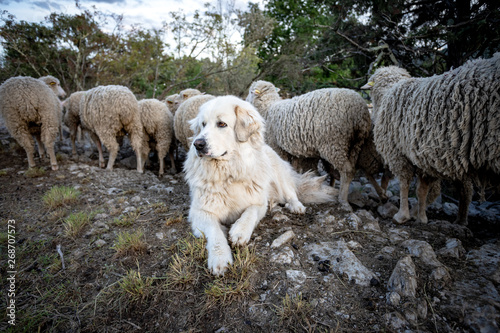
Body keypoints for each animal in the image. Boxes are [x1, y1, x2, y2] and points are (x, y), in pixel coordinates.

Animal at [185, 94, 336, 274]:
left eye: (221, 124)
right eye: (202, 124)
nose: (197, 144)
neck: (229, 173)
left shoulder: (257, 202)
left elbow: (250, 213)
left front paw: (239, 231)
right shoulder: (200, 212)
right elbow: (214, 232)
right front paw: (219, 258)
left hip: (280, 176)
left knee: (291, 192)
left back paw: (296, 206)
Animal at [246, 80, 372, 208]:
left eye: (251, 92)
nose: (245, 101)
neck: (269, 108)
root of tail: (360, 110)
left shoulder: (277, 146)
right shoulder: (295, 151)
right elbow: (295, 167)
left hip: (335, 143)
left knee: (347, 171)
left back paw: (343, 200)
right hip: (356, 145)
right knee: (349, 170)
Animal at [364, 53, 500, 224]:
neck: (389, 92)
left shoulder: (397, 153)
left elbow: (404, 183)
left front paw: (402, 215)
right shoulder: (423, 159)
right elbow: (422, 190)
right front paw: (421, 217)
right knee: (466, 189)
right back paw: (461, 220)